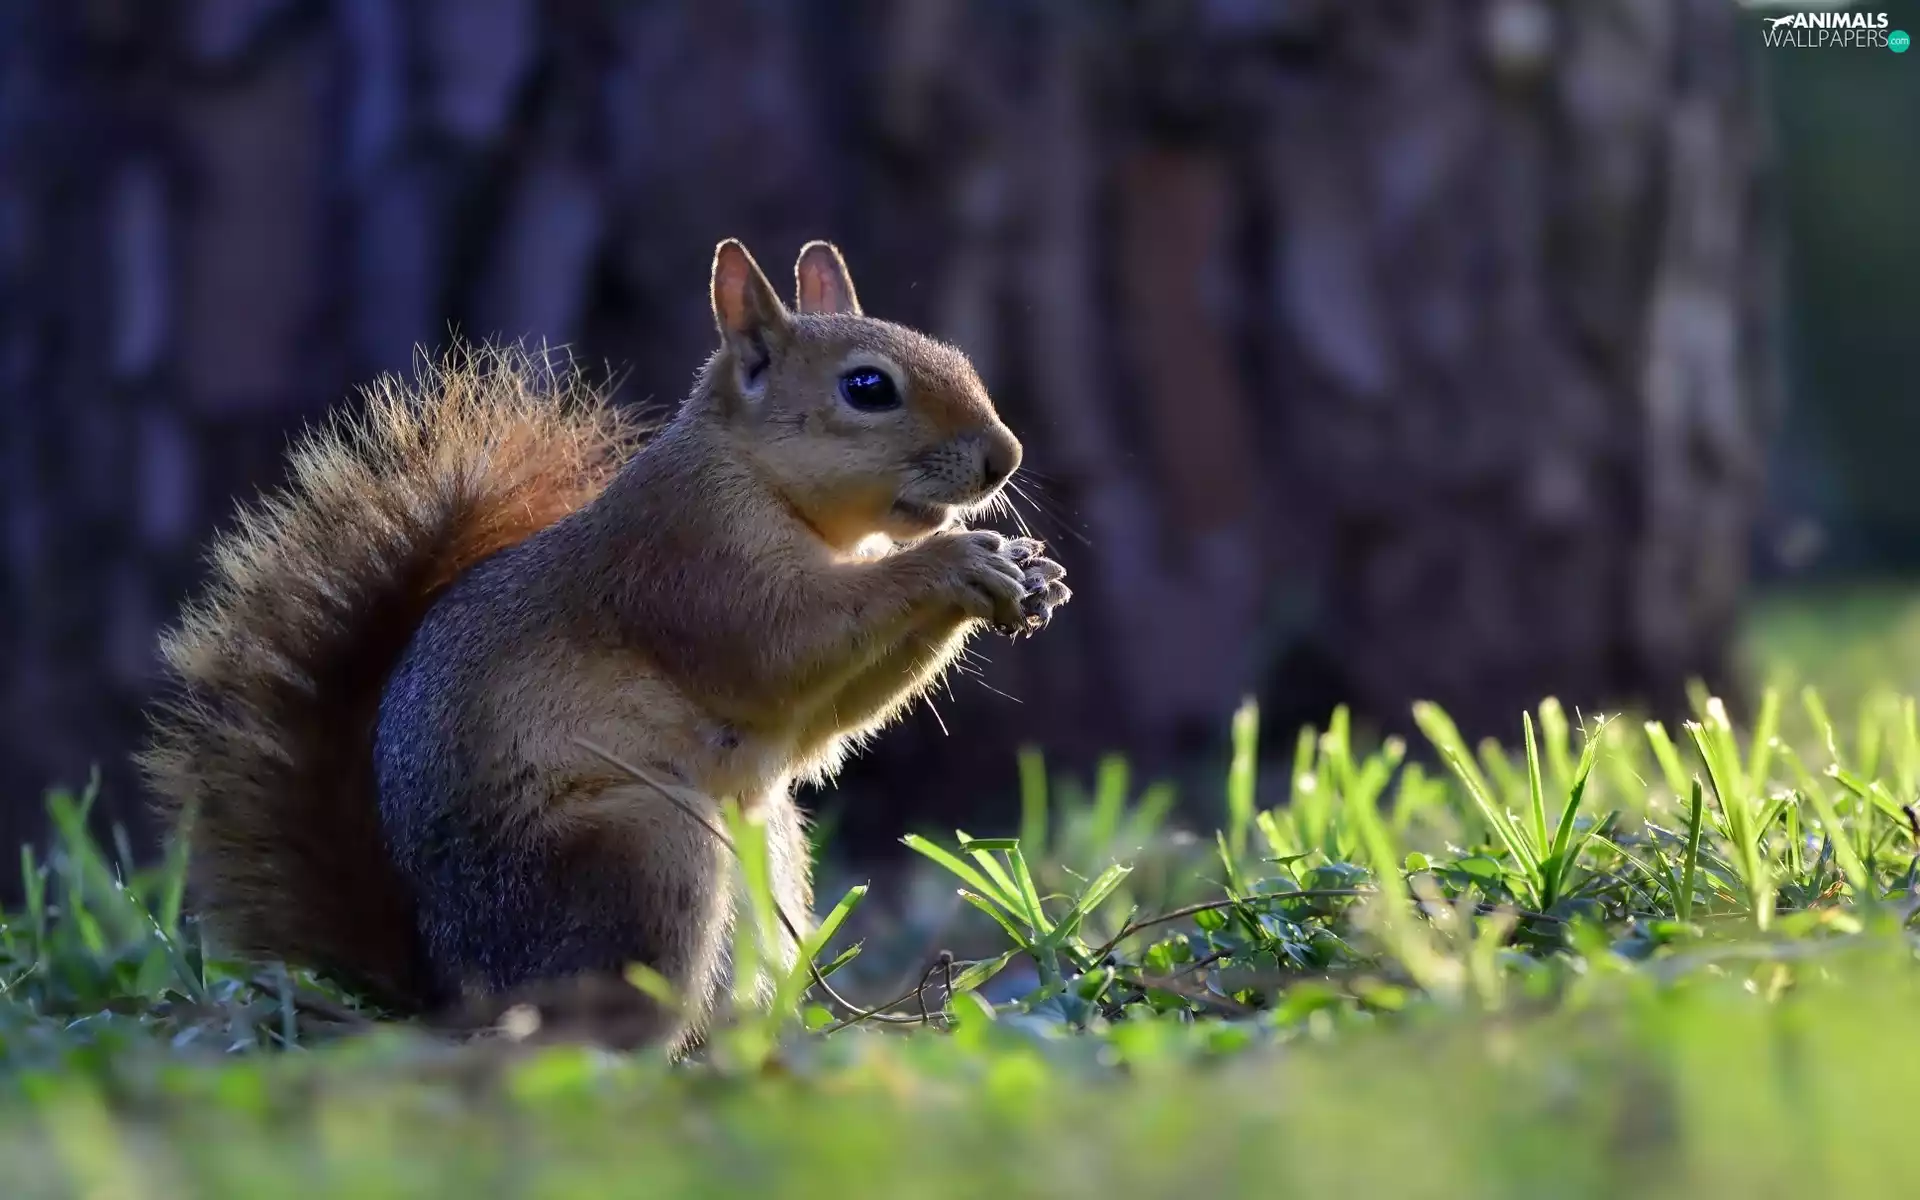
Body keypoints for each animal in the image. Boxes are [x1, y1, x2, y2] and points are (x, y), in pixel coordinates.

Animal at [138, 239, 1070, 1053]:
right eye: (868, 387)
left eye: (957, 354)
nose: (1006, 456)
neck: (759, 481)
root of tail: (456, 993)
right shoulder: (689, 565)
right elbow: (784, 645)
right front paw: (955, 560)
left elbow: (821, 726)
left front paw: (1028, 573)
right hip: (645, 849)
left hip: (764, 848)